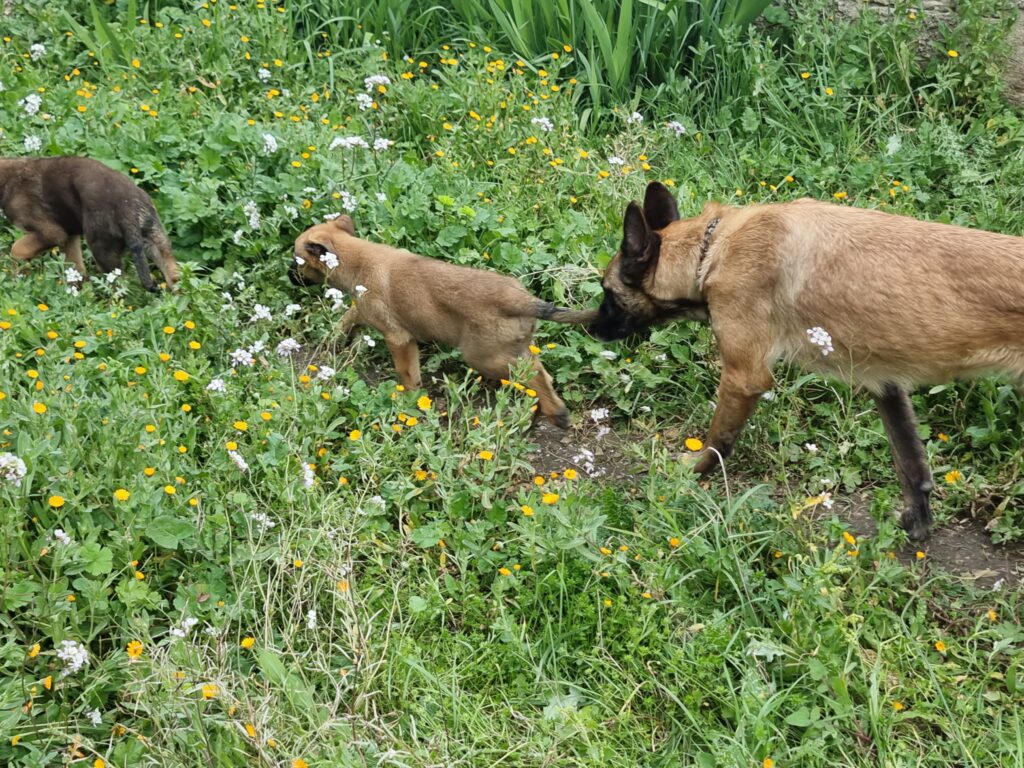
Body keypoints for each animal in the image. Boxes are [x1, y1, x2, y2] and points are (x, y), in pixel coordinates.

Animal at [0, 156, 180, 290]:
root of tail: (127, 208)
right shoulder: (69, 236)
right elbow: (75, 267)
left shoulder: (52, 232)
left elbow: (17, 249)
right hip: (155, 237)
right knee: (174, 273)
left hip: (102, 249)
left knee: (120, 281)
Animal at [288, 215, 598, 428]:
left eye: (296, 260)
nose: (288, 276)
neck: (355, 257)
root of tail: (522, 300)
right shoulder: (364, 309)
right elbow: (349, 316)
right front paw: (333, 337)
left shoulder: (398, 338)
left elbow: (407, 373)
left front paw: (409, 401)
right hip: (514, 349)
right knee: (540, 372)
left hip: (483, 356)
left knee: (532, 375)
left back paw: (556, 413)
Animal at [589, 182, 1024, 540]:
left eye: (606, 291)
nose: (592, 328)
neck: (711, 250)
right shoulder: (886, 387)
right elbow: (912, 469)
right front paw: (916, 526)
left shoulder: (743, 377)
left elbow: (716, 443)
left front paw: (686, 474)